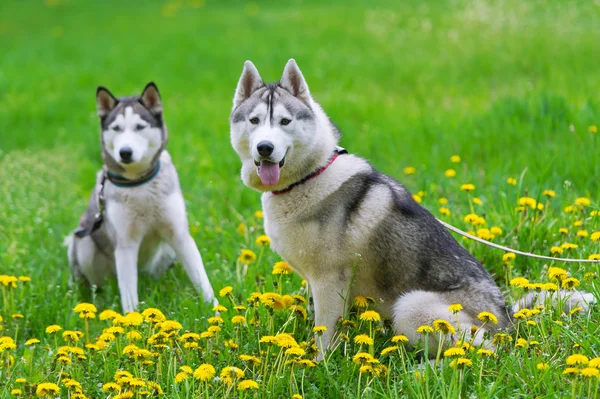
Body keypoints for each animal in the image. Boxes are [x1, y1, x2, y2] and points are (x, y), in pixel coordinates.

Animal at [67, 83, 216, 314]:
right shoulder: (125, 245)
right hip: (84, 242)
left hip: (166, 252)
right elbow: (129, 295)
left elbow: (202, 280)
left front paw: (217, 310)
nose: (125, 152)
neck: (140, 185)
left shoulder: (180, 235)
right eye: (116, 128)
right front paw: (131, 321)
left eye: (139, 127)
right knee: (99, 284)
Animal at [231, 60, 596, 356]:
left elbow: (325, 335)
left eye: (285, 121)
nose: (265, 148)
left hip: (411, 307)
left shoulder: (329, 280)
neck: (311, 174)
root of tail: (507, 320)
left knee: (485, 350)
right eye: (254, 121)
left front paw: (321, 366)